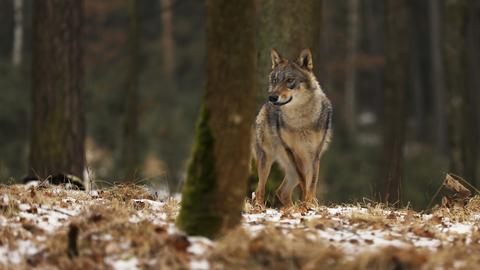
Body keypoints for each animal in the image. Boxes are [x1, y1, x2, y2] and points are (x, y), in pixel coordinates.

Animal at [253, 48, 332, 207]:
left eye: (290, 80)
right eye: (275, 80)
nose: (272, 97)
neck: (301, 120)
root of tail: (263, 107)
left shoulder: (314, 154)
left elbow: (312, 183)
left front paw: (310, 204)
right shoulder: (292, 151)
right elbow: (304, 181)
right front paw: (306, 204)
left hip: (292, 167)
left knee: (281, 191)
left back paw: (291, 208)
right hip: (267, 160)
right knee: (260, 190)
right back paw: (261, 207)